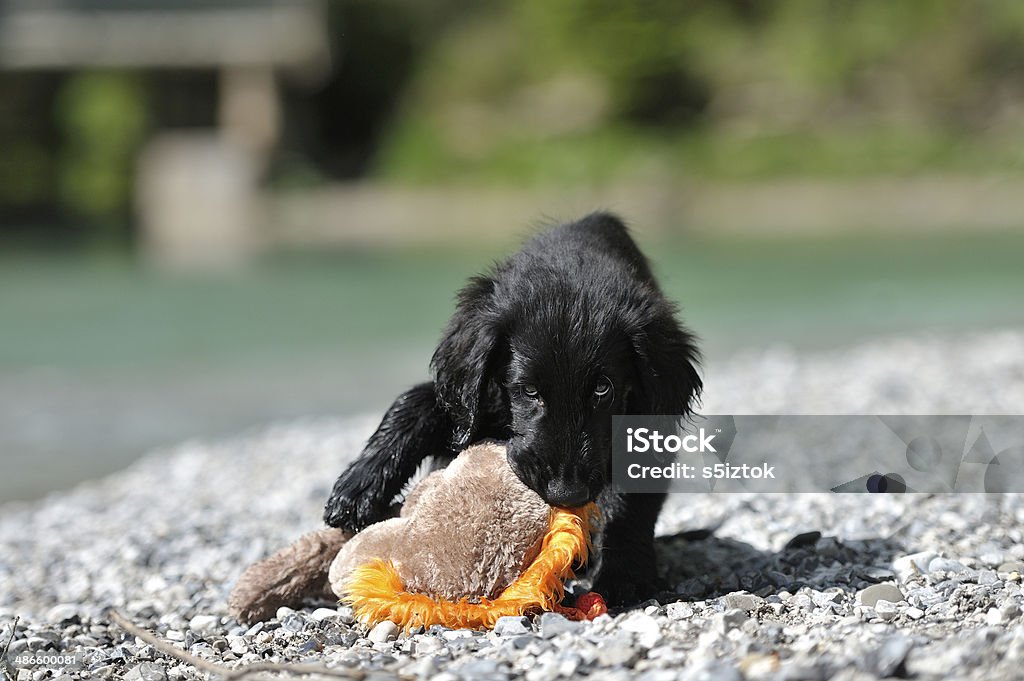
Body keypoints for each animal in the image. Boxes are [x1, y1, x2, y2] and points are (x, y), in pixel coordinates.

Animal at [323, 210, 700, 602]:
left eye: (602, 389)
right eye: (528, 390)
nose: (565, 493)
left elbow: (630, 500)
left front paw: (625, 574)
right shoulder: (475, 400)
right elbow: (419, 400)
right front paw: (359, 487)